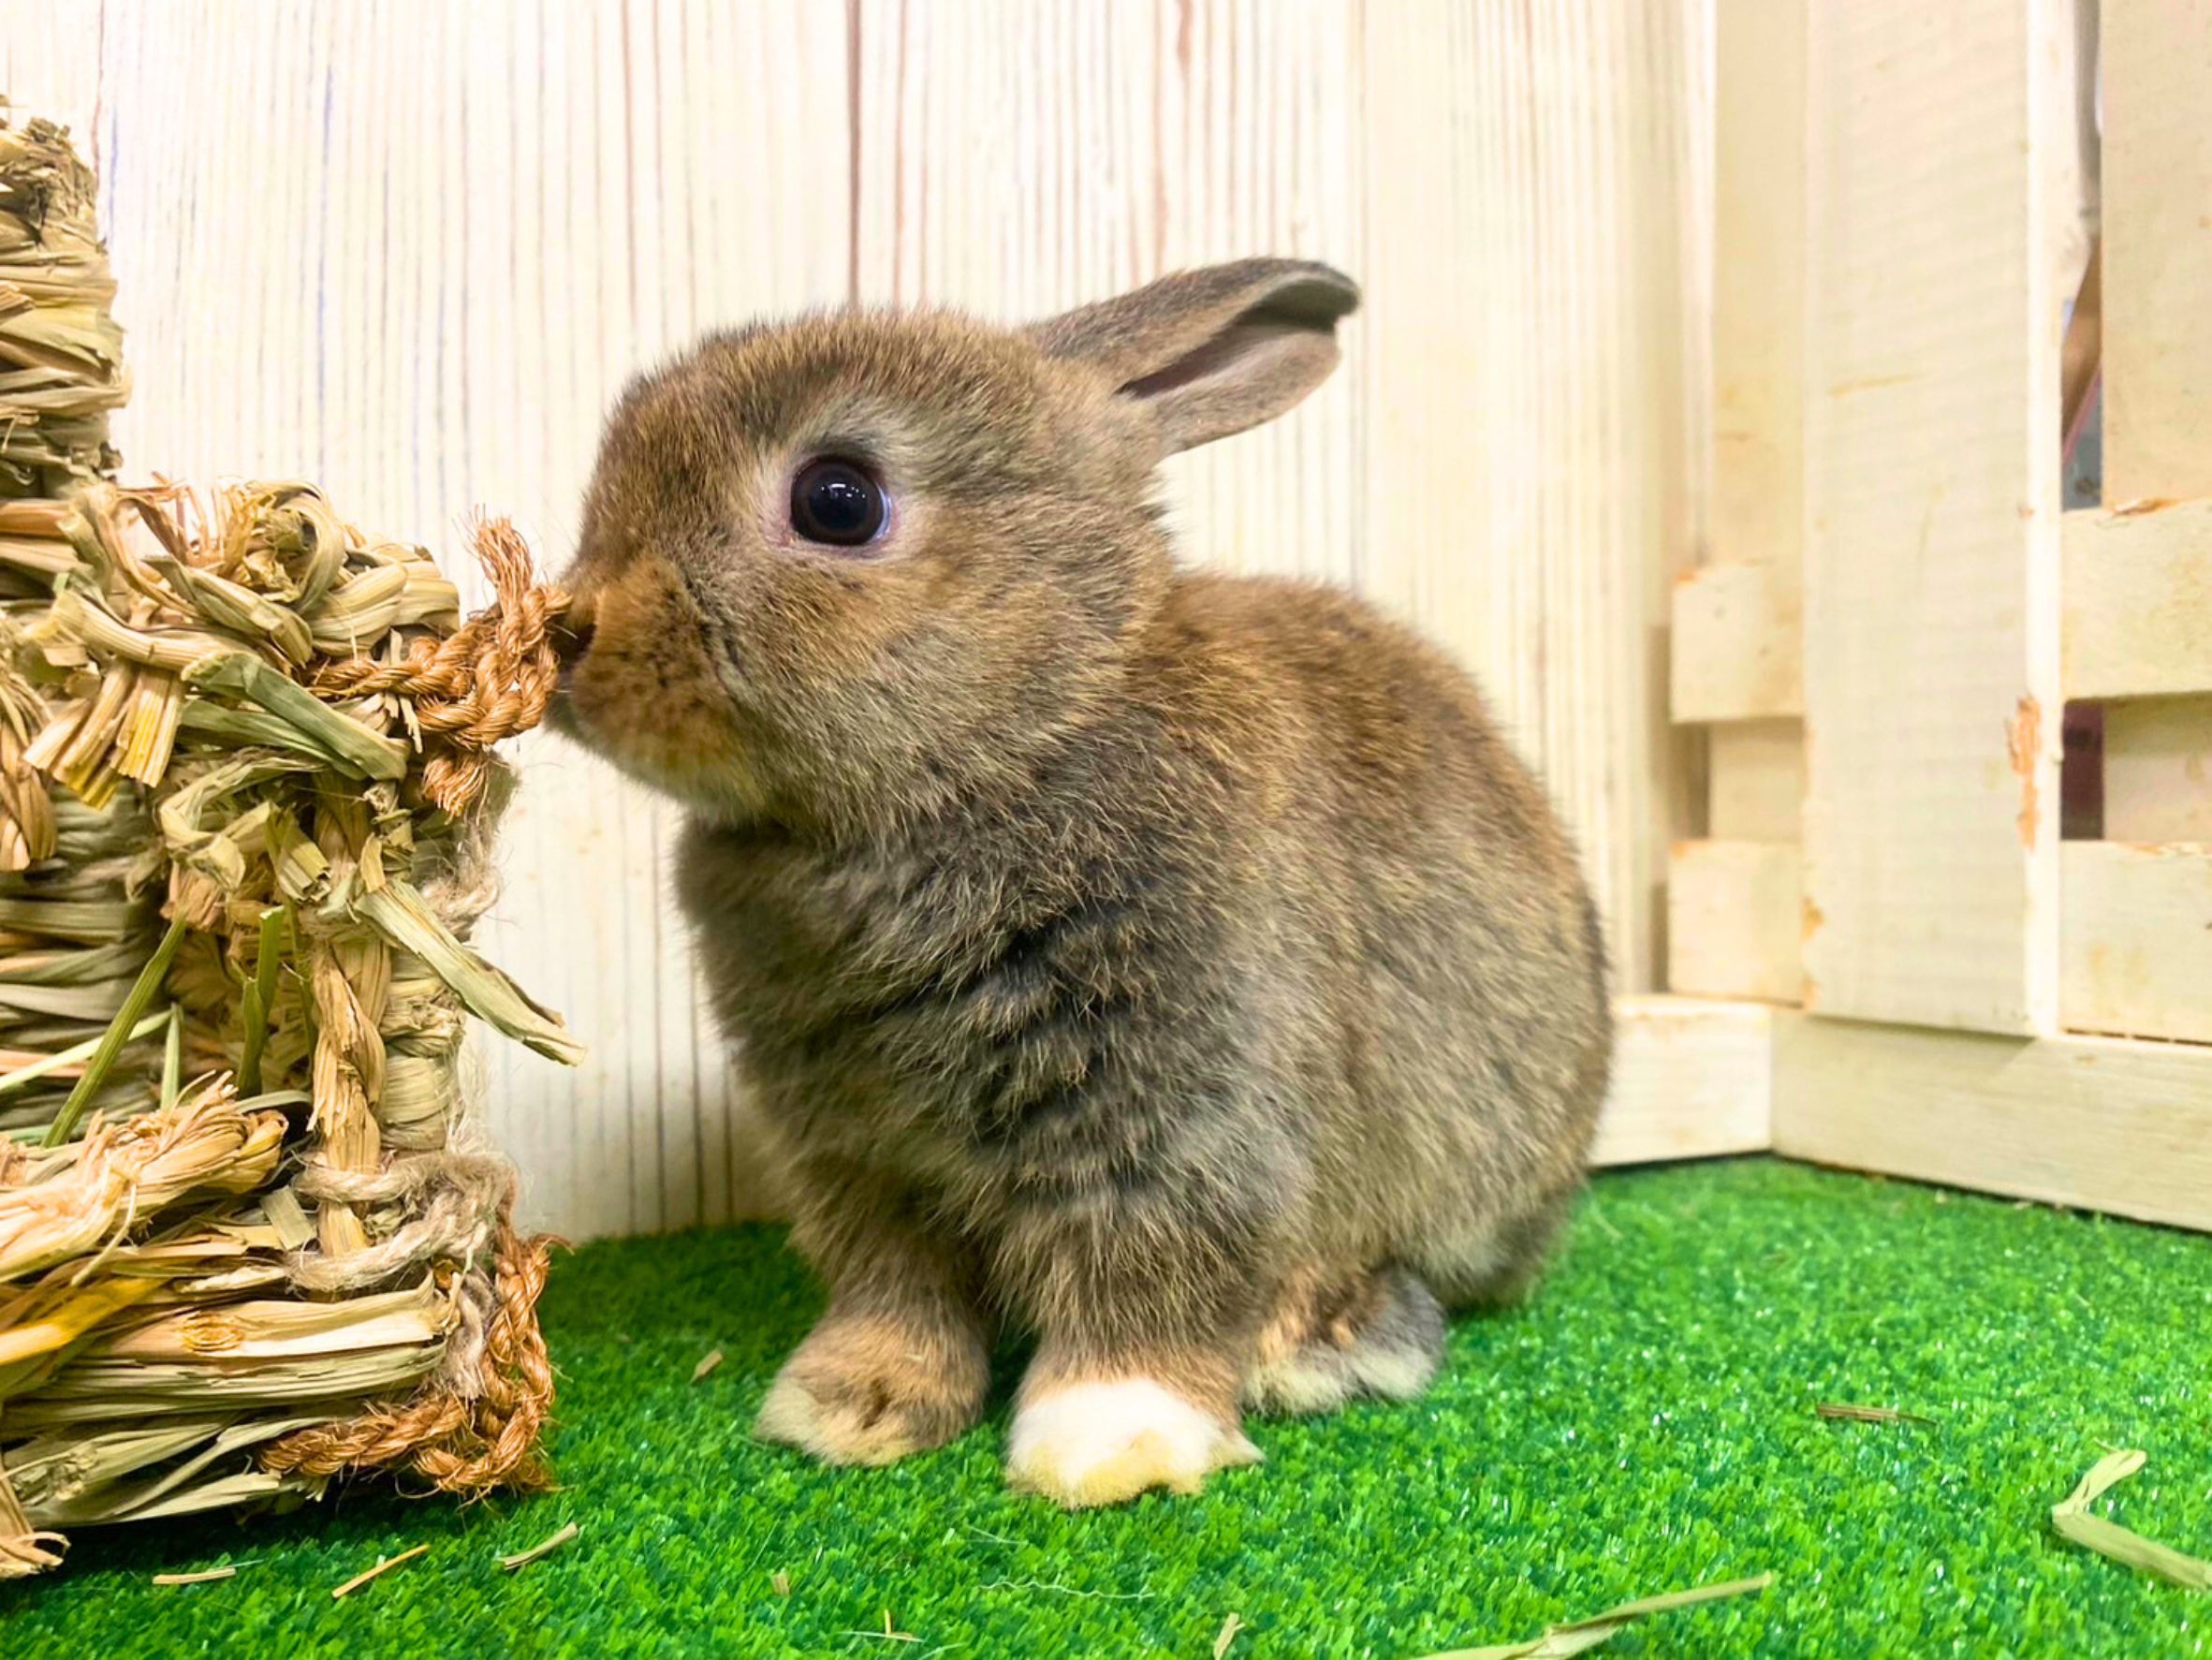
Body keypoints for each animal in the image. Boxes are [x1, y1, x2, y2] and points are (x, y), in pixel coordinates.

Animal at [557, 257, 1610, 1505]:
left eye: (837, 501)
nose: (568, 634)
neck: (1011, 739)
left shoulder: (1174, 1119)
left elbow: (1146, 1280)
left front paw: (1108, 1449)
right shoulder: (859, 1159)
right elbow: (894, 1292)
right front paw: (850, 1409)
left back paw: (1318, 1345)